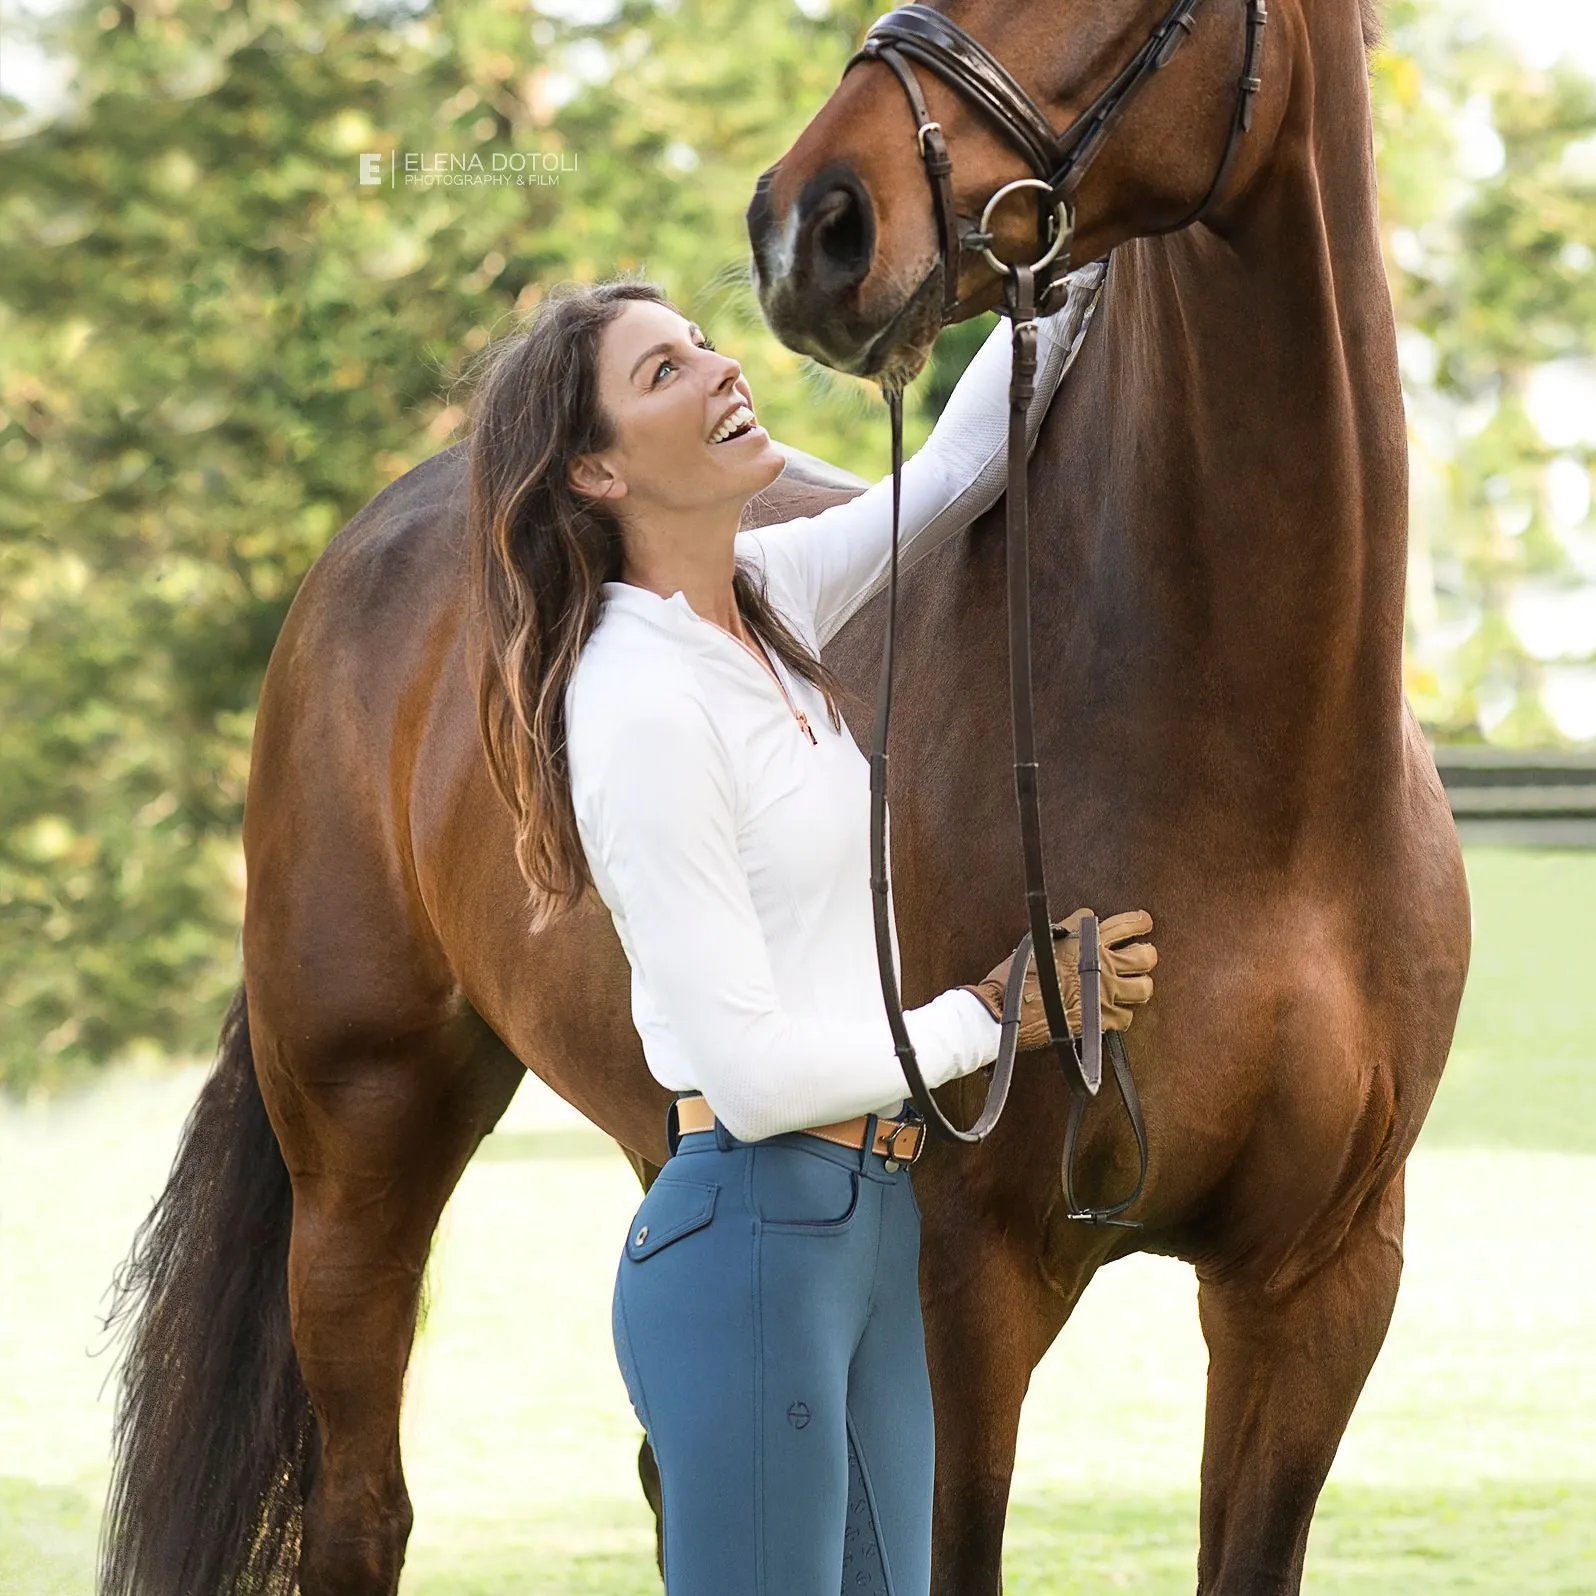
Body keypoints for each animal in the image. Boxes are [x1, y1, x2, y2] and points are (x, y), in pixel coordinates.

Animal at [96, 3, 1468, 1596]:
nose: (810, 225)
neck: (1259, 770)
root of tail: (384, 531)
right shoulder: (961, 1286)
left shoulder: (1316, 1290)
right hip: (364, 1150)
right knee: (364, 1508)